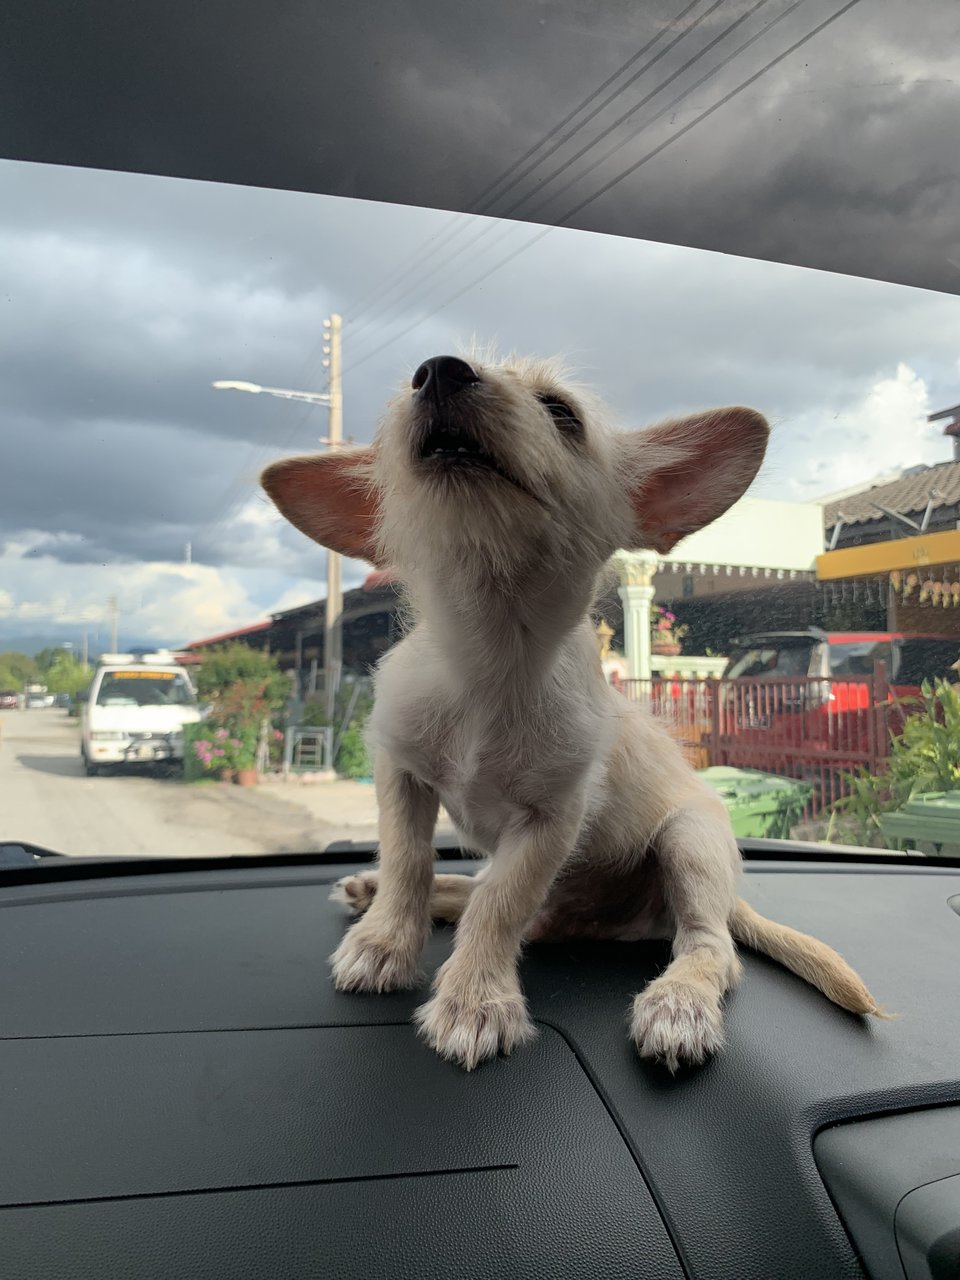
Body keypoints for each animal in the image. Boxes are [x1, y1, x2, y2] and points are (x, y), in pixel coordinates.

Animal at [263, 350, 885, 1070]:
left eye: (561, 413)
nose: (440, 370)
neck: (489, 660)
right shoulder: (401, 772)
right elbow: (409, 861)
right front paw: (385, 940)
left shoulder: (550, 819)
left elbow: (501, 904)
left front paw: (475, 998)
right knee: (474, 890)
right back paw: (375, 894)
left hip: (690, 840)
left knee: (709, 945)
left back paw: (680, 1002)